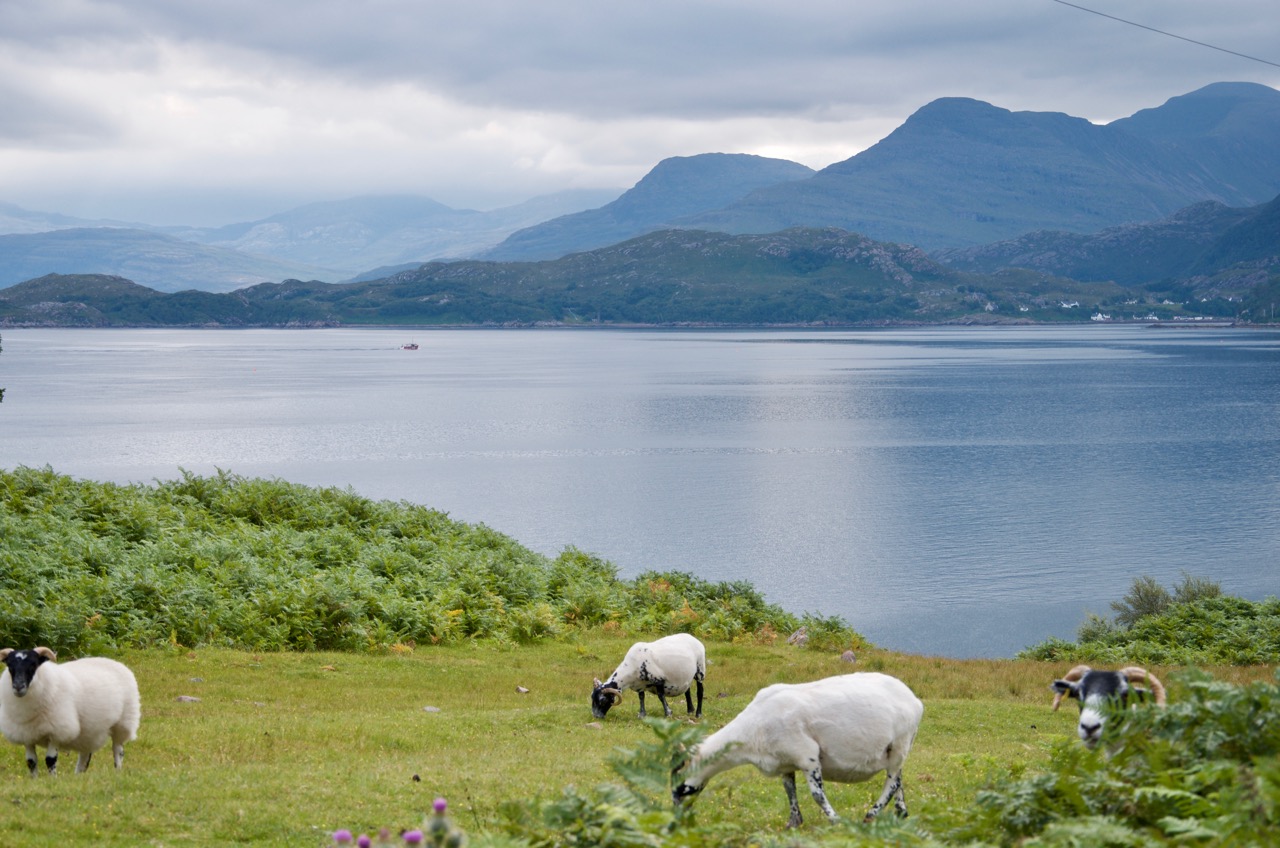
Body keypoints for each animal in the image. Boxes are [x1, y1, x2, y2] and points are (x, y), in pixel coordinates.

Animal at [1, 650, 142, 778]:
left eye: (33, 665)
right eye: (10, 666)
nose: (18, 686)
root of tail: (116, 663)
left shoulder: (57, 731)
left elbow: (50, 760)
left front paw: (53, 780)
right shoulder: (26, 735)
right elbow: (31, 762)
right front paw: (34, 780)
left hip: (123, 722)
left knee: (118, 750)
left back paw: (117, 771)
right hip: (89, 730)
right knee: (85, 755)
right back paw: (78, 776)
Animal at [670, 676, 921, 824]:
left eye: (678, 777)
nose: (676, 817)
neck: (751, 731)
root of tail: (915, 700)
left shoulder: (807, 755)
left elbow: (817, 795)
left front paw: (835, 820)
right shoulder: (784, 762)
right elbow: (789, 790)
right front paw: (794, 822)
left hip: (900, 743)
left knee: (892, 782)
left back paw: (871, 814)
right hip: (895, 749)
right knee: (898, 779)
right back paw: (901, 813)